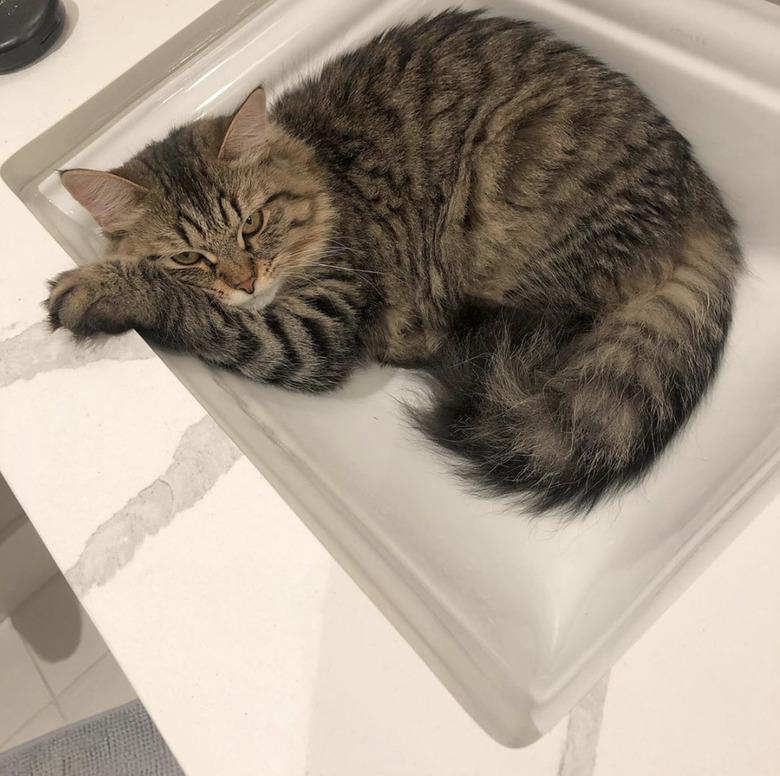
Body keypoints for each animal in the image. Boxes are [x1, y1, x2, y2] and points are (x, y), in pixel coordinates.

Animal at [45, 12, 740, 516]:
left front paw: (96, 289)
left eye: (253, 224)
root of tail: (705, 199)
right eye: (189, 254)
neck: (322, 172)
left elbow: (197, 312)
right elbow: (202, 304)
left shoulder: (317, 324)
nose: (245, 281)